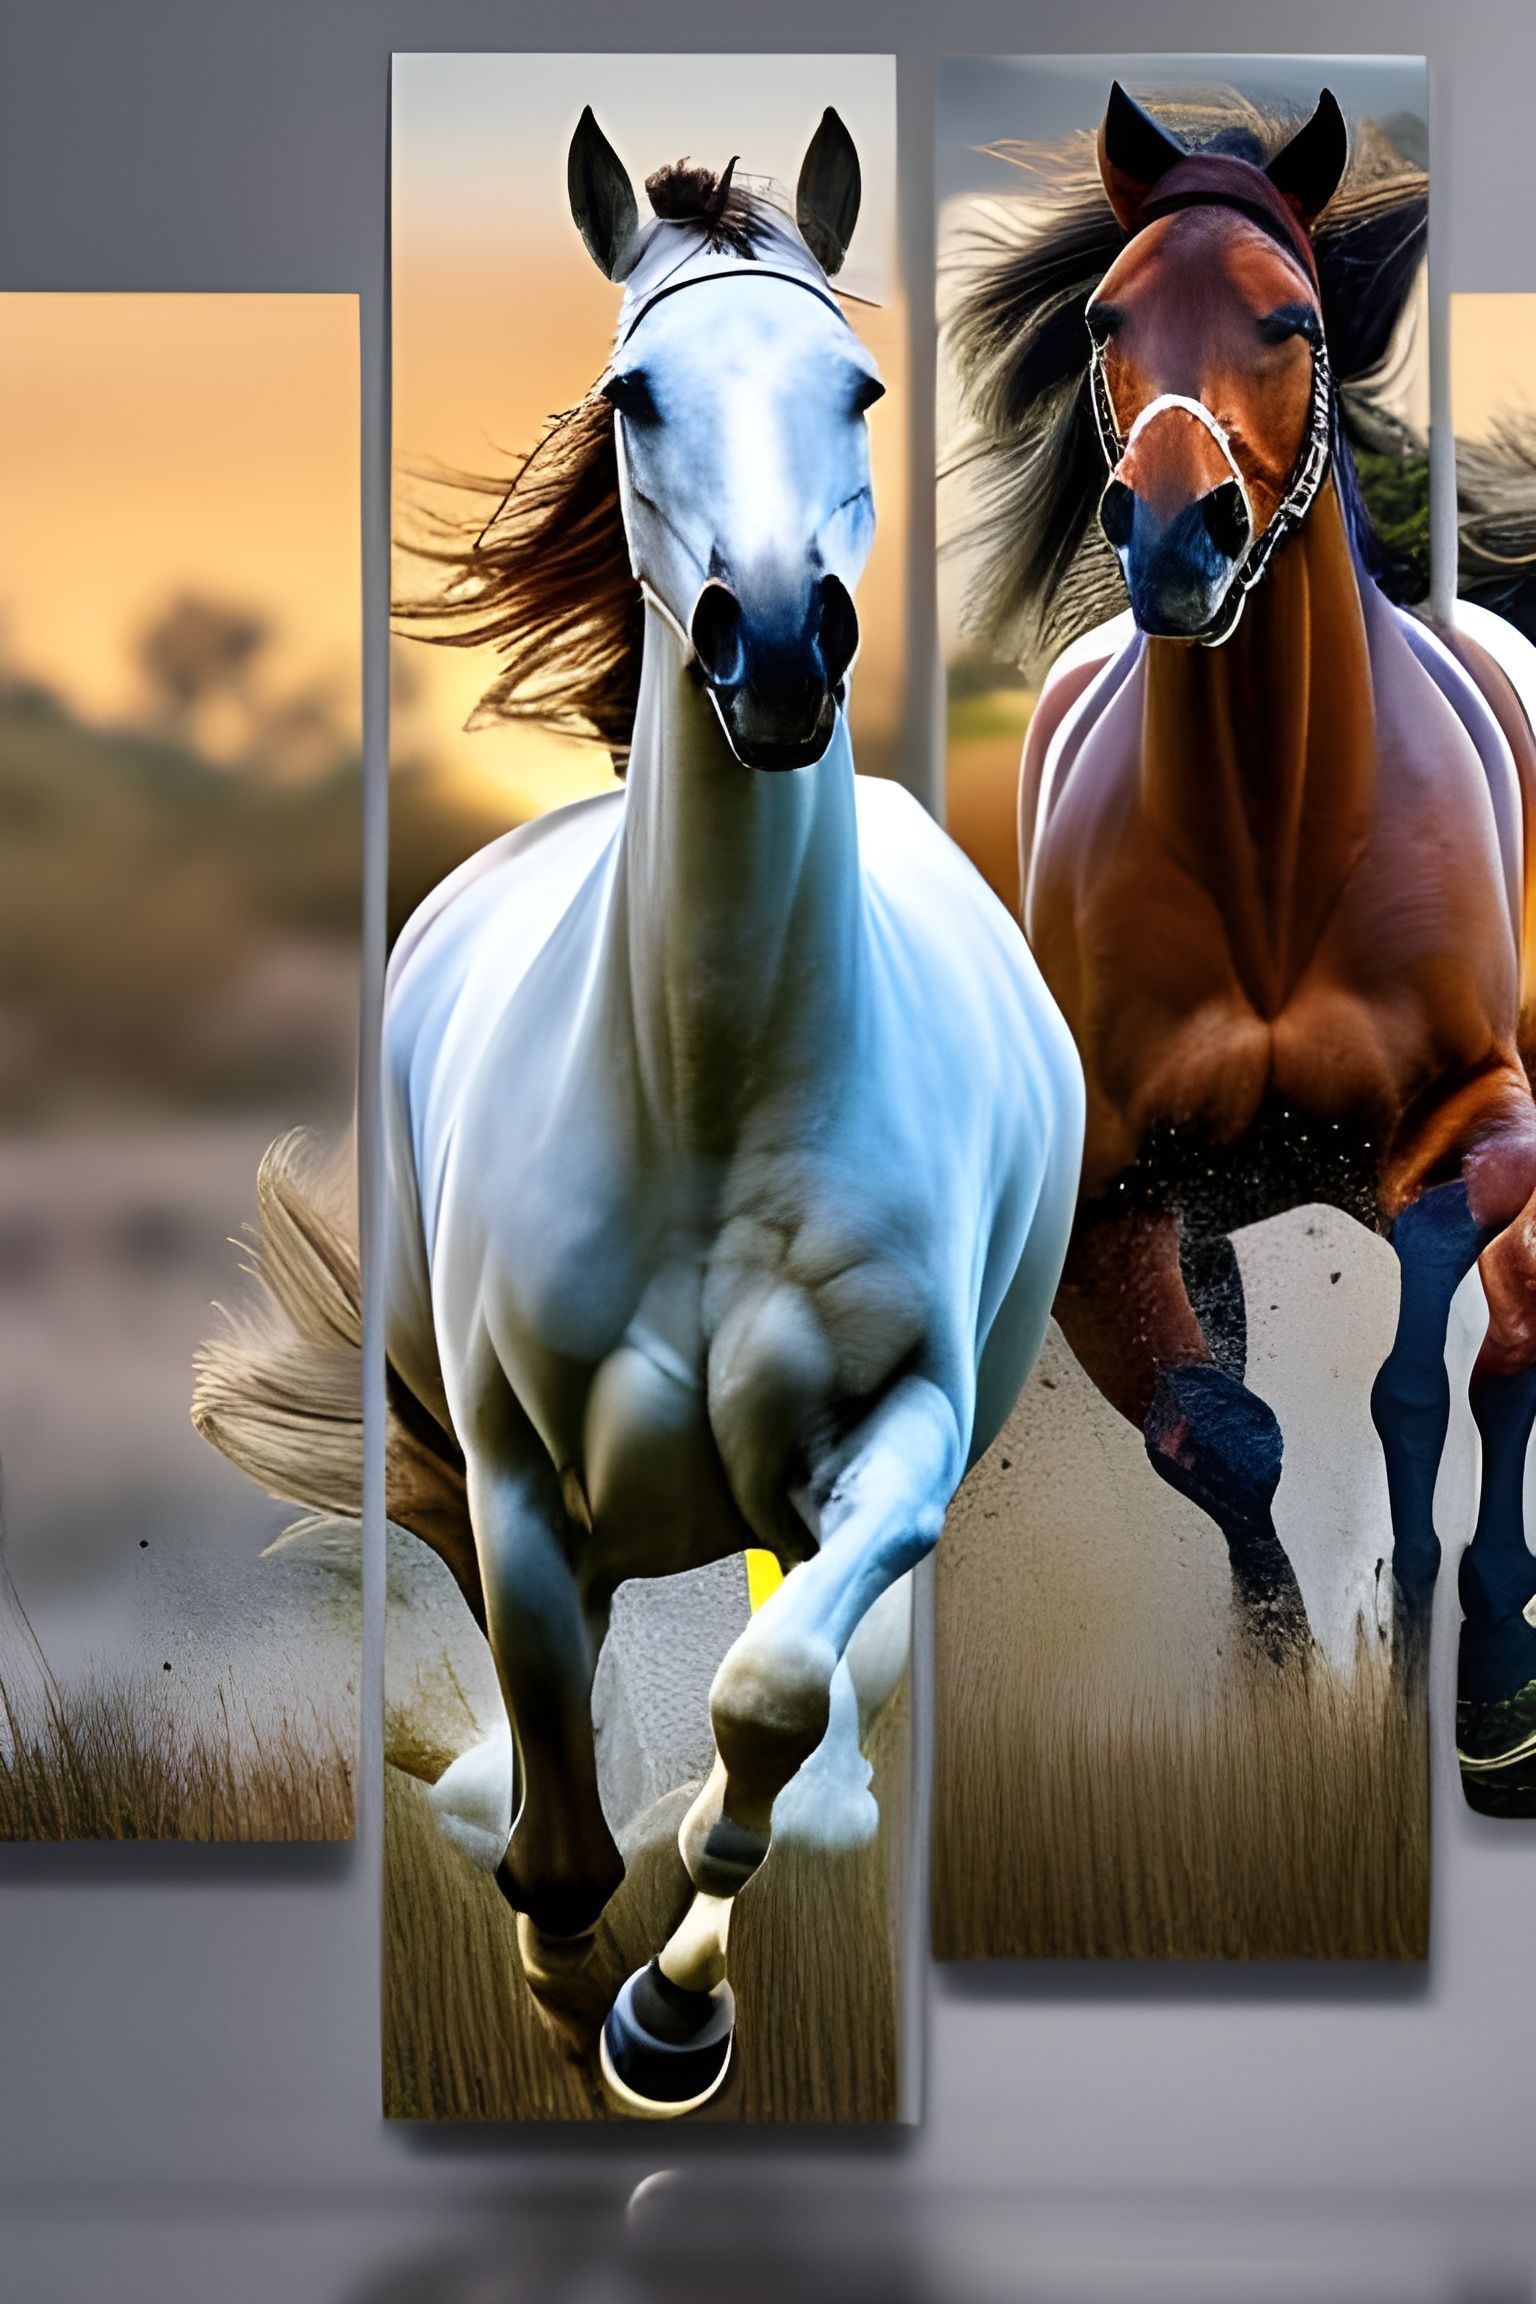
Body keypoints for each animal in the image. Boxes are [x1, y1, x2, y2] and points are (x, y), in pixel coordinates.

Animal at [371, 107, 1082, 2113]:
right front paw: (563, 1976)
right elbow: (559, 1809)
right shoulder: (521, 1484)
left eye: (857, 385)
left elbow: (764, 1699)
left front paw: (667, 2014)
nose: (773, 644)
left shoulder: (902, 1432)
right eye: (636, 391)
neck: (705, 1087)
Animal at [945, 83, 1536, 1804]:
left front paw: (1460, 1679)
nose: (1175, 541)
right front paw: (1281, 1701)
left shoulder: (1484, 1116)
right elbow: (1221, 1435)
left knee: (1501, 1359)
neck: (1275, 842)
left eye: (1292, 319)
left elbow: (1431, 1361)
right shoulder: (1110, 1208)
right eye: (1105, 315)